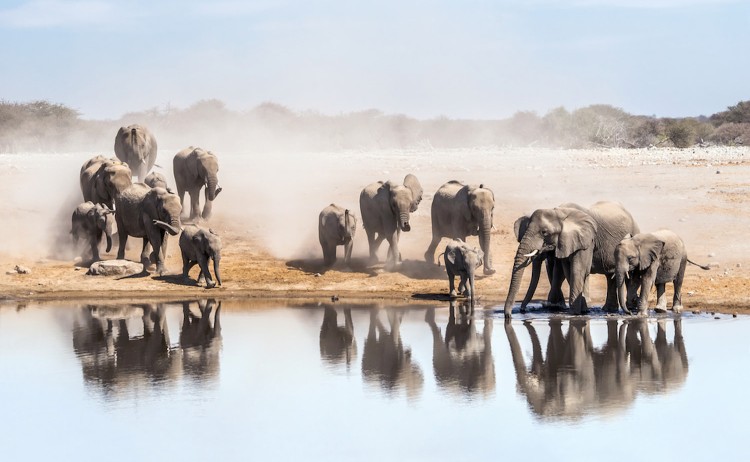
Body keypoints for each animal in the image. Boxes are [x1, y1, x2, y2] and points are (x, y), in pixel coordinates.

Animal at [503, 201, 640, 317]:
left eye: (544, 232)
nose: (521, 311)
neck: (559, 213)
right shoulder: (564, 243)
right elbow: (566, 271)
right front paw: (582, 310)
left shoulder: (587, 240)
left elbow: (577, 270)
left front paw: (574, 313)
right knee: (610, 275)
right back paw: (609, 310)